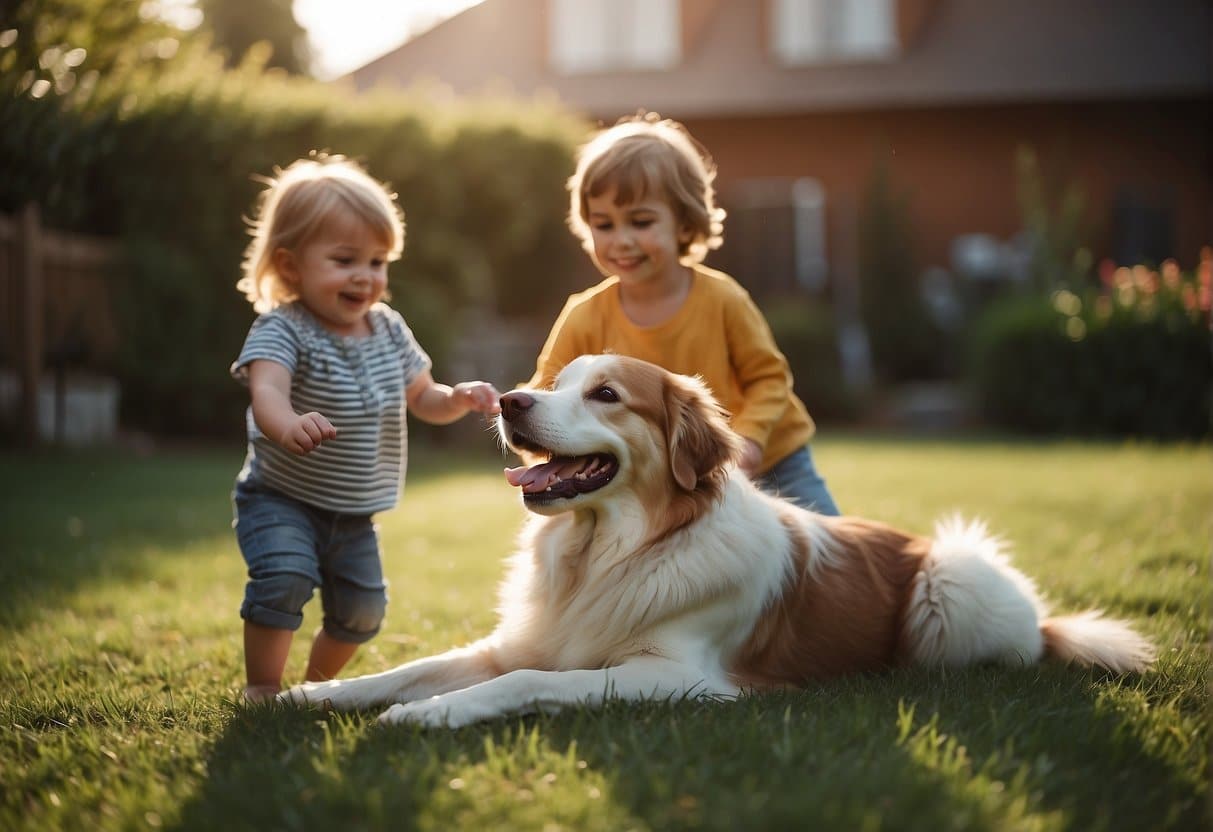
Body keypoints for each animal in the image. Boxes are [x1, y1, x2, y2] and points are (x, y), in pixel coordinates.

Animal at [281, 354, 1154, 727]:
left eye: (605, 395)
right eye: (553, 381)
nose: (510, 400)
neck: (610, 555)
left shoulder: (679, 676)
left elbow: (525, 683)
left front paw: (426, 717)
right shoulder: (518, 640)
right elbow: (405, 669)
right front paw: (305, 696)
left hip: (952, 578)